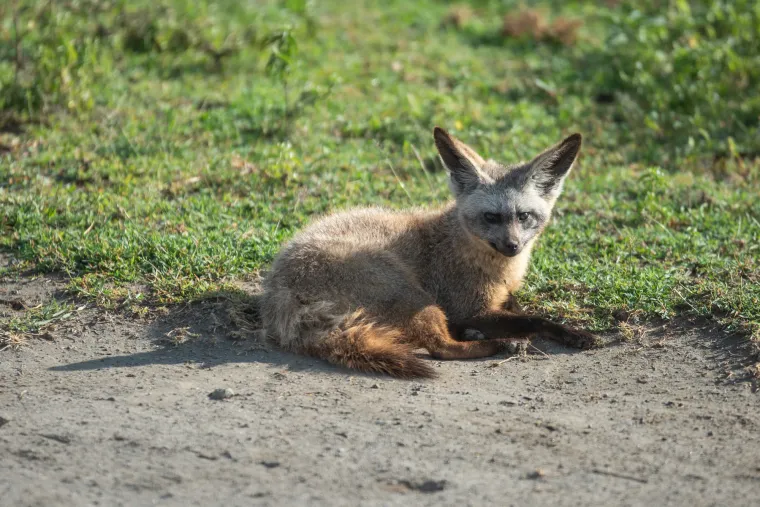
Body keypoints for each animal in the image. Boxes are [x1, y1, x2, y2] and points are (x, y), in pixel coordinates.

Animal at [260, 127, 597, 379]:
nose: (512, 246)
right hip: (415, 297)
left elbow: (517, 308)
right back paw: (499, 343)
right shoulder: (469, 307)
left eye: (524, 216)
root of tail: (280, 291)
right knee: (441, 348)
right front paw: (570, 332)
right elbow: (533, 320)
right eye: (491, 217)